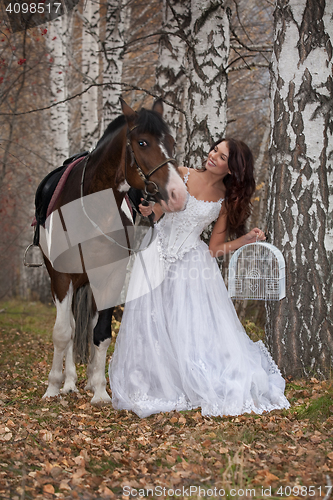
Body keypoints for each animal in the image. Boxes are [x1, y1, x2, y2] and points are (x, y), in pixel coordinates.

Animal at [37, 98, 187, 406]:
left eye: (171, 141)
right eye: (142, 142)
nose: (178, 193)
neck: (93, 209)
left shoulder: (111, 275)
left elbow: (102, 333)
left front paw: (99, 389)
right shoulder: (61, 277)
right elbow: (62, 332)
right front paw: (53, 387)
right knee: (70, 326)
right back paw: (68, 382)